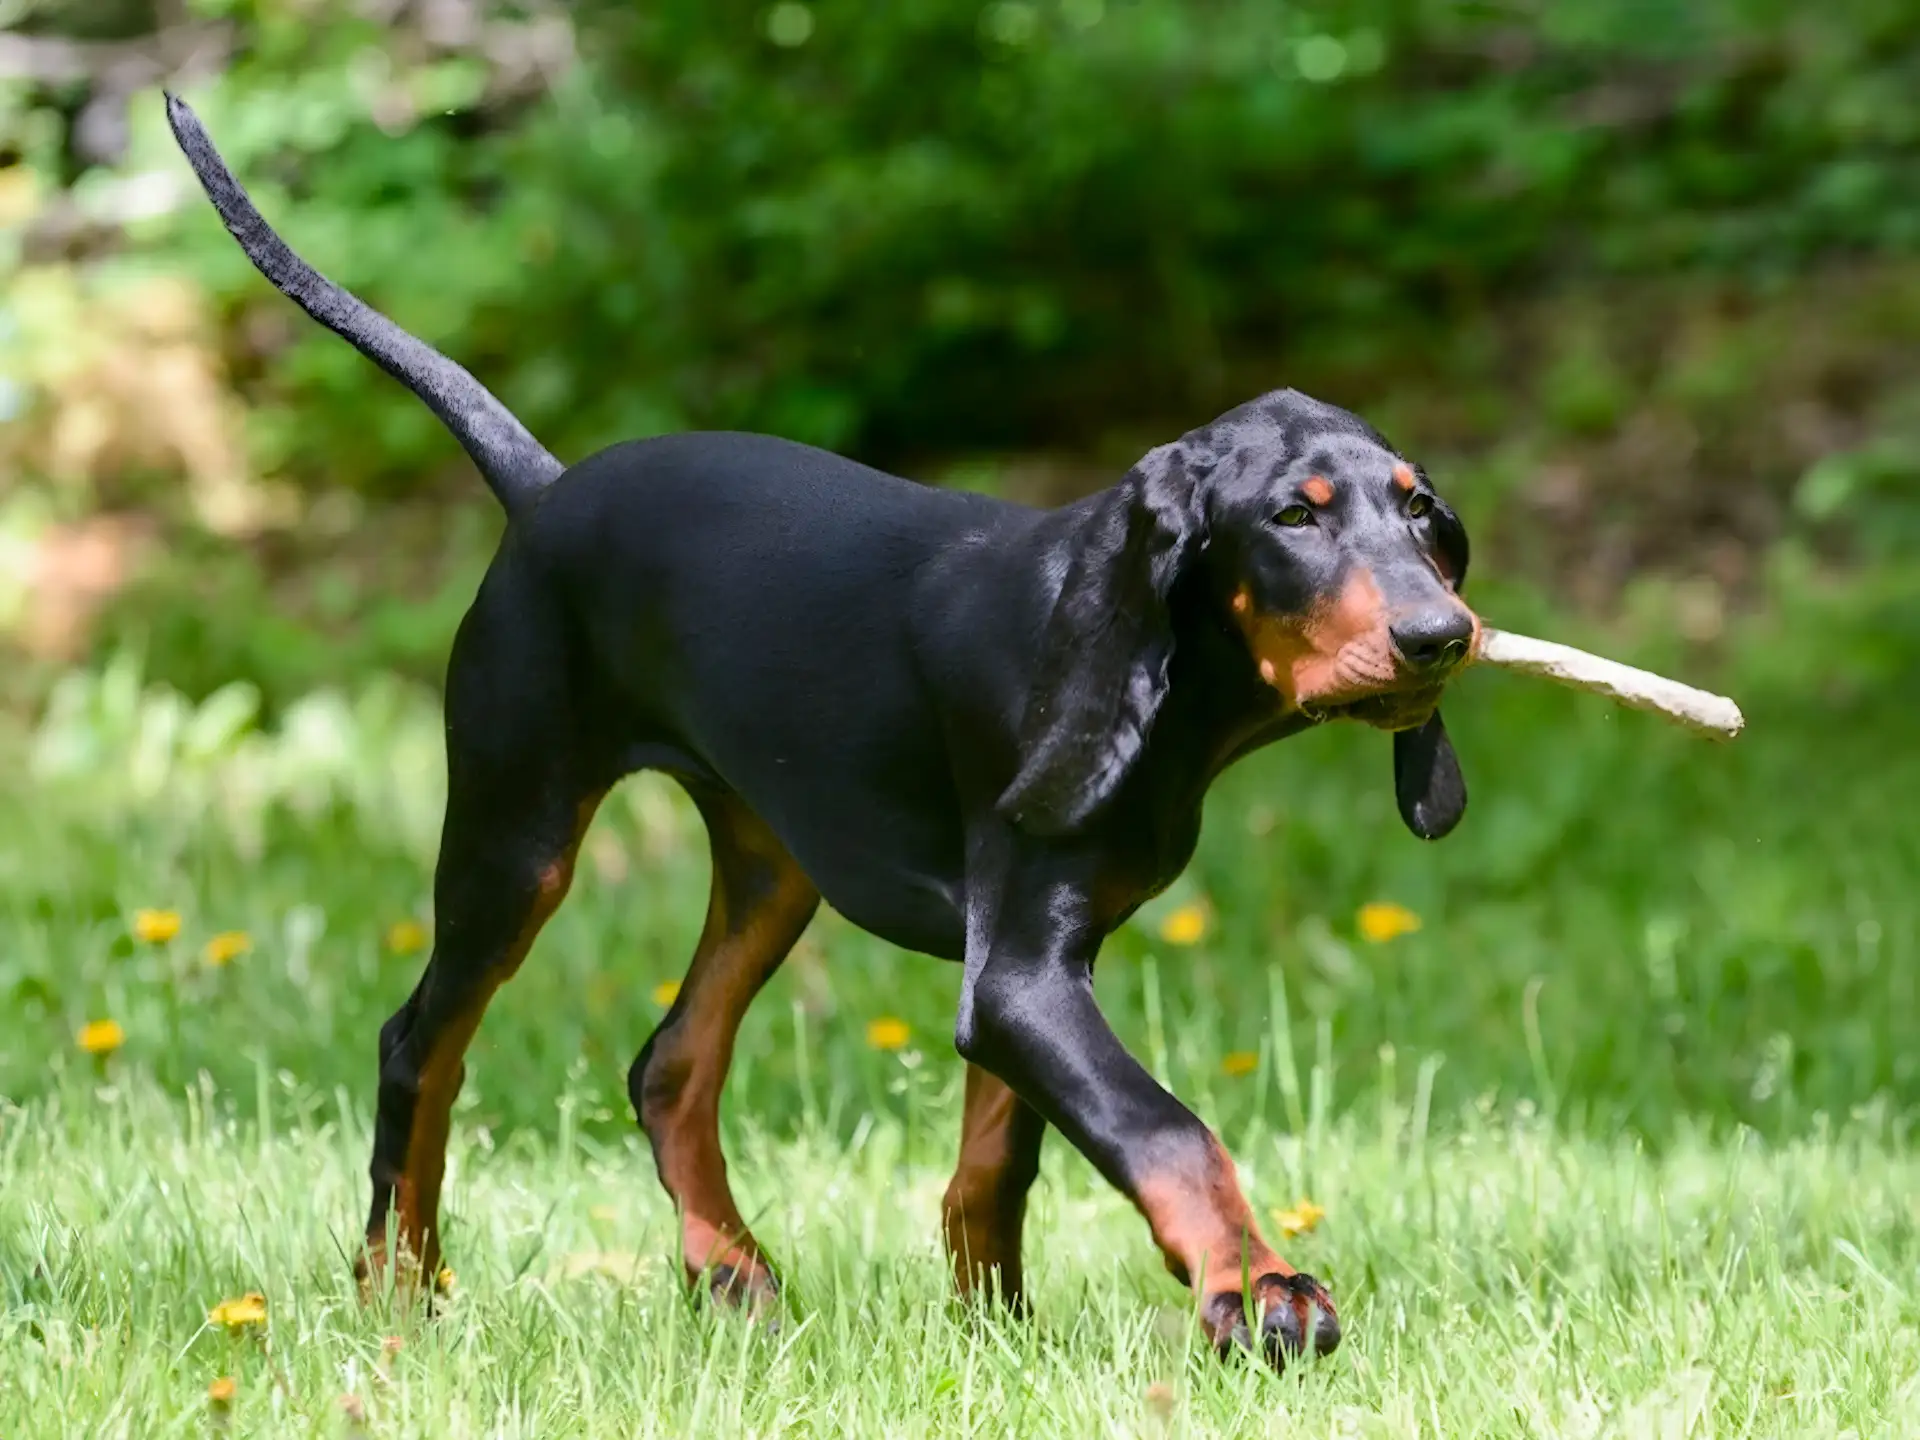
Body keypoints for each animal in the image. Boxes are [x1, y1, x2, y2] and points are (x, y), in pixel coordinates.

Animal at [172, 96, 1474, 1367]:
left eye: (1421, 512)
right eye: (1293, 518)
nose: (1441, 636)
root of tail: (542, 490)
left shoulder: (1036, 965)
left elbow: (1000, 1158)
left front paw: (998, 1338)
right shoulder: (1023, 974)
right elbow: (1165, 1127)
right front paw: (1259, 1290)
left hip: (771, 860)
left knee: (670, 1065)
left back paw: (730, 1271)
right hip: (514, 831)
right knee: (418, 1044)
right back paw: (399, 1290)